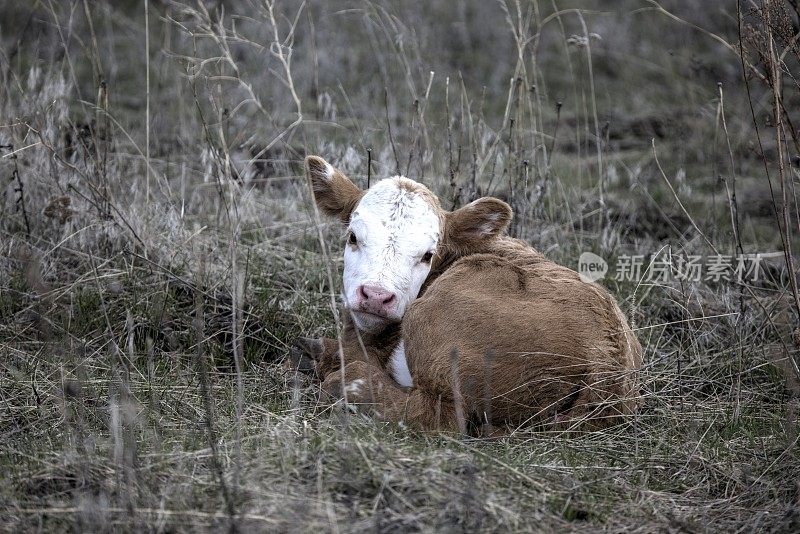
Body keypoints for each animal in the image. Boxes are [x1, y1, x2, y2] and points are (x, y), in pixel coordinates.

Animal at [296, 156, 644, 436]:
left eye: (428, 255)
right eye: (353, 237)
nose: (376, 296)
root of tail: (609, 361)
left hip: (434, 324)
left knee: (440, 417)